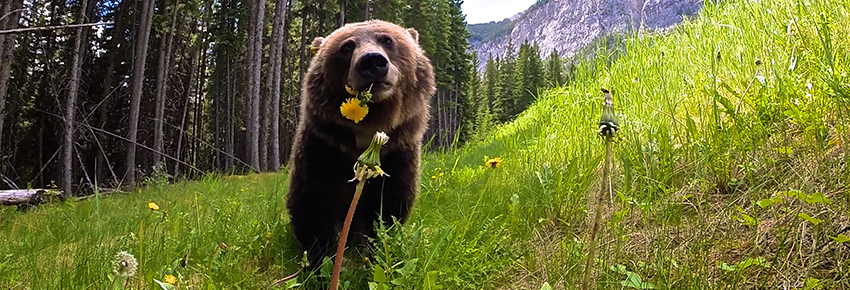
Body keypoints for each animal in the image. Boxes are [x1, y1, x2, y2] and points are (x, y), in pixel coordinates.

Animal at [284, 19, 434, 270]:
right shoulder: (322, 149)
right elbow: (312, 204)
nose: (372, 61)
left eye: (387, 40)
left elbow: (388, 206)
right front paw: (322, 260)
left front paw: (376, 252)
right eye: (346, 47)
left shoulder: (398, 154)